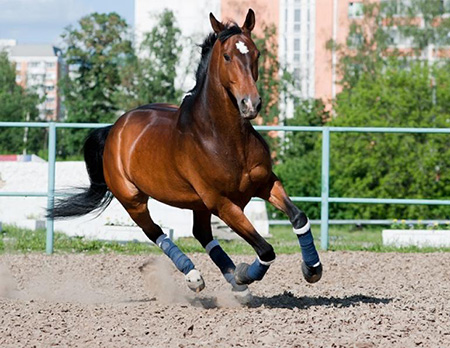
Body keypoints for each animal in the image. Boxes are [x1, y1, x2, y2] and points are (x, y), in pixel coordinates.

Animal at [51, 10, 320, 300]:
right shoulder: (222, 203)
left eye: (257, 53)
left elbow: (298, 217)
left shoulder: (266, 184)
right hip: (133, 199)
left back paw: (236, 285)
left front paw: (312, 268)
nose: (251, 104)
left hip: (197, 204)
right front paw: (243, 273)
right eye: (227, 56)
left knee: (201, 233)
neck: (223, 137)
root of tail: (115, 128)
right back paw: (196, 276)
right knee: (155, 232)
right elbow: (265, 249)